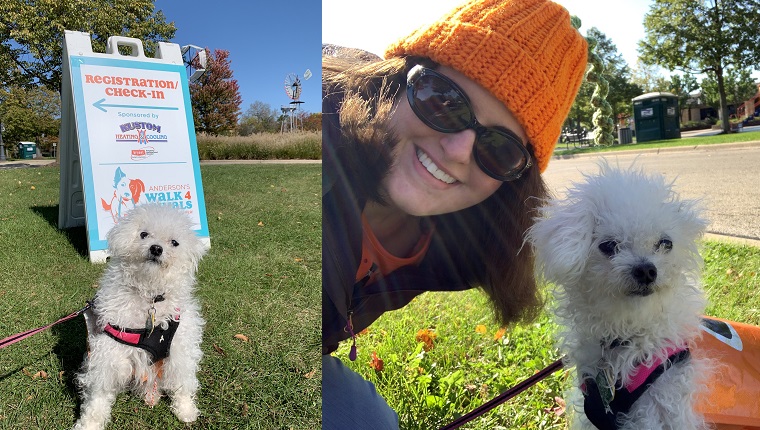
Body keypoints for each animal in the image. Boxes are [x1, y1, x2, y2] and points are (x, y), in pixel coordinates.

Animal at [74, 203, 208, 428]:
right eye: (143, 234)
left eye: (174, 242)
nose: (156, 248)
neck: (150, 297)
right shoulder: (109, 354)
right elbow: (98, 396)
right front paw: (89, 424)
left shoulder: (180, 350)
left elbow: (182, 383)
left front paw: (186, 410)